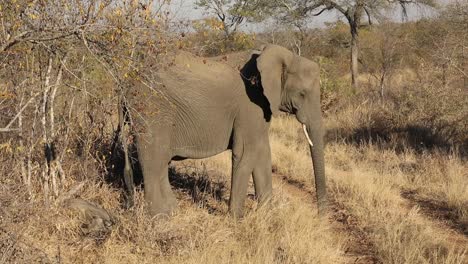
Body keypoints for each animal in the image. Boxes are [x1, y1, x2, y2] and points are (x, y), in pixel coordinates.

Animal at [123, 43, 330, 217]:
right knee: (153, 159)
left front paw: (267, 215)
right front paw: (237, 219)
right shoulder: (250, 104)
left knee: (160, 163)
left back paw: (173, 211)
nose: (321, 216)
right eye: (302, 94)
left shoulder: (262, 107)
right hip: (151, 109)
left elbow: (262, 152)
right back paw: (160, 218)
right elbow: (246, 152)